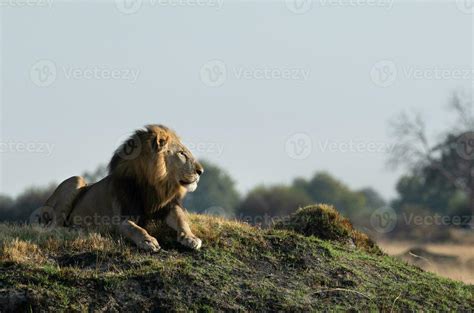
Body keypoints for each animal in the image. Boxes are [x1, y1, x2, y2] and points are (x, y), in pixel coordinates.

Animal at [32, 124, 204, 251]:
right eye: (182, 154)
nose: (201, 171)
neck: (154, 184)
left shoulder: (168, 206)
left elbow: (182, 220)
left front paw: (191, 238)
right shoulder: (120, 218)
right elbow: (135, 228)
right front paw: (148, 241)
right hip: (76, 180)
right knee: (52, 228)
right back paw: (76, 229)